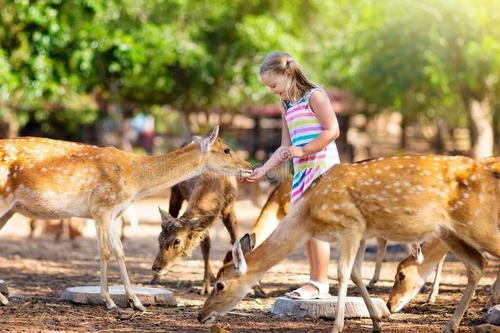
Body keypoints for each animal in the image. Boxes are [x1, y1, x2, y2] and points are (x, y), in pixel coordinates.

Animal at [0, 126, 252, 308]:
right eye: (227, 149)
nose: (249, 166)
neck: (135, 181)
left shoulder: (113, 213)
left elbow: (120, 251)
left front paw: (136, 302)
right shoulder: (101, 207)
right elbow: (105, 252)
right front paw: (109, 301)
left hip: (10, 209)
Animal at [200, 154, 500, 330]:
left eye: (220, 284)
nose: (201, 316)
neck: (309, 215)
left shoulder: (351, 225)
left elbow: (343, 274)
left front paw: (337, 326)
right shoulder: (362, 232)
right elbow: (356, 272)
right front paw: (377, 321)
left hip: (479, 224)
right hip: (451, 231)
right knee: (477, 264)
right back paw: (451, 325)